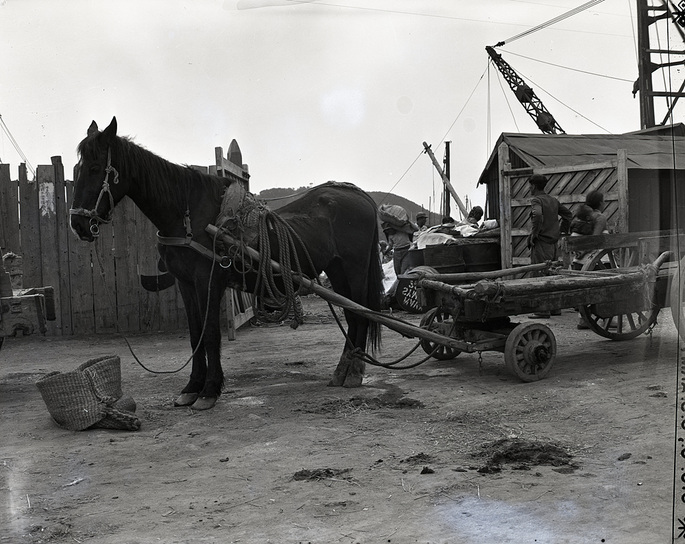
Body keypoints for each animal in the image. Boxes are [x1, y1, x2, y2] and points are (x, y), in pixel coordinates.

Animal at [71, 117, 382, 410]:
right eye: (77, 168)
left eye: (96, 168)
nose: (78, 224)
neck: (189, 216)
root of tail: (360, 196)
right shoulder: (186, 284)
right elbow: (195, 334)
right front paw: (191, 387)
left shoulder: (208, 281)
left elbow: (210, 334)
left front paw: (209, 391)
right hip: (337, 270)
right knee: (353, 314)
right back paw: (343, 371)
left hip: (354, 270)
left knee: (361, 314)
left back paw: (353, 373)